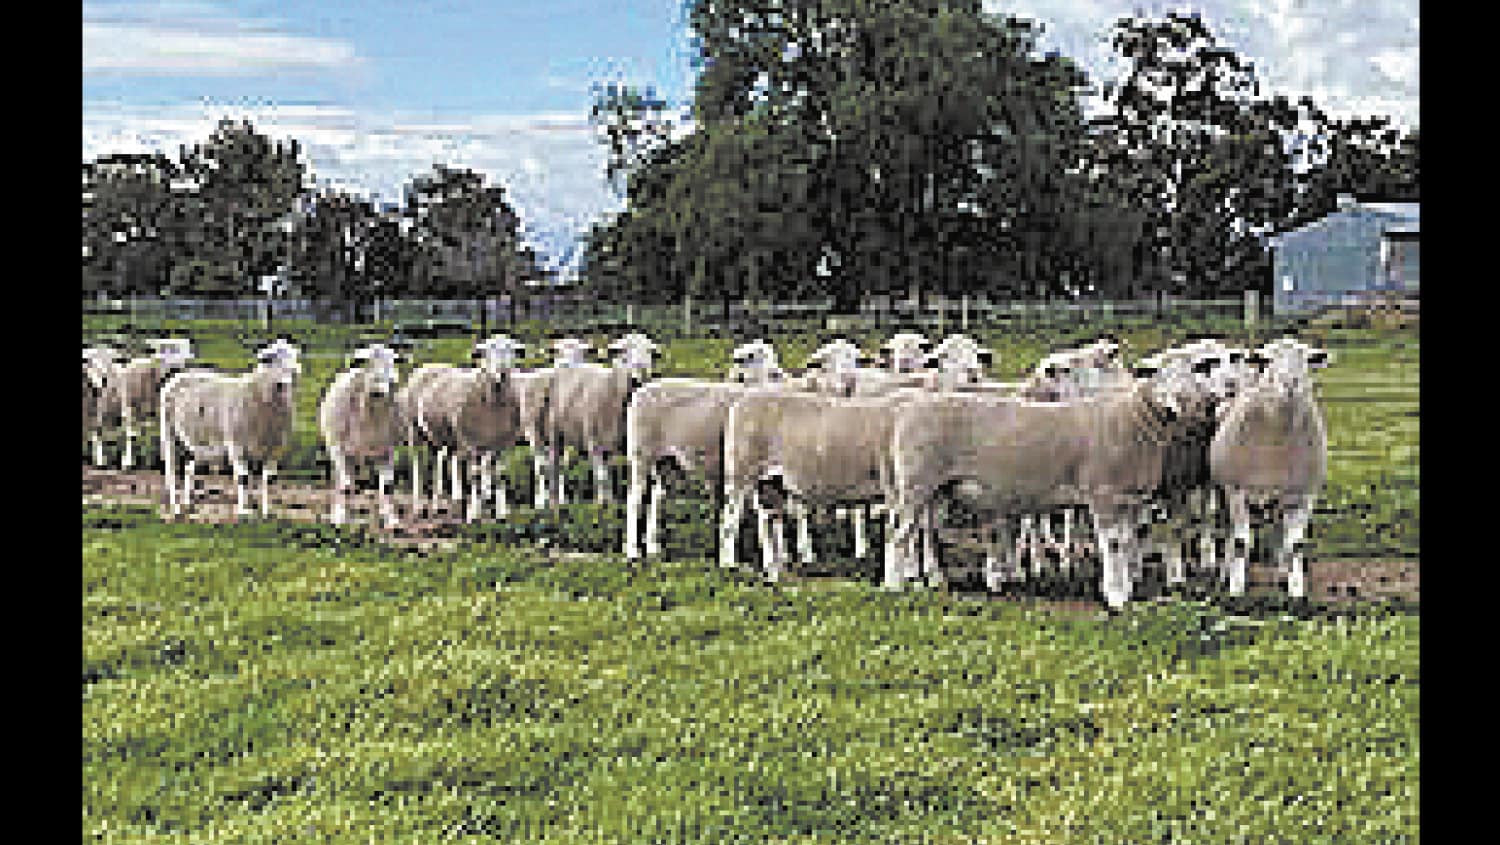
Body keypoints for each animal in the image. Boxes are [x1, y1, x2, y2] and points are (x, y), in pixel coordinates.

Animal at [159, 339, 301, 520]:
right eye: (272, 359)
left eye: (293, 356)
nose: (292, 377)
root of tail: (183, 374)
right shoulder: (237, 445)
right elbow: (243, 477)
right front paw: (243, 512)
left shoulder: (275, 448)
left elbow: (267, 478)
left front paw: (265, 512)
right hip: (168, 430)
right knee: (170, 469)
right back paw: (176, 509)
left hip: (201, 443)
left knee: (189, 468)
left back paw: (188, 504)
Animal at [318, 344, 403, 528]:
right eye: (369, 362)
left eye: (393, 362)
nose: (392, 381)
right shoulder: (340, 450)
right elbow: (345, 485)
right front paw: (341, 520)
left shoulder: (387, 451)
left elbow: (387, 486)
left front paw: (392, 521)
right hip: (341, 451)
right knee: (343, 482)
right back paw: (340, 514)